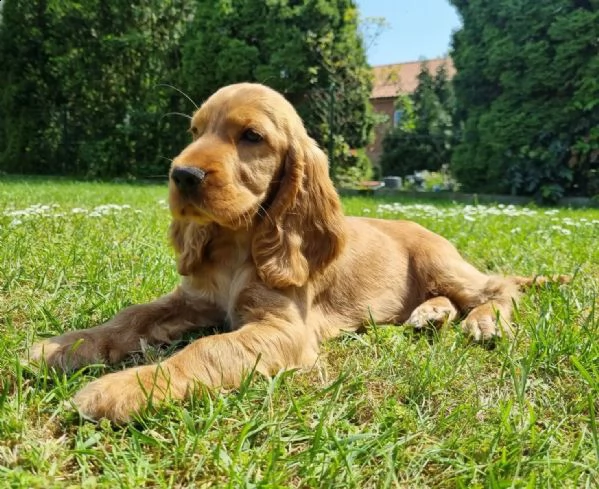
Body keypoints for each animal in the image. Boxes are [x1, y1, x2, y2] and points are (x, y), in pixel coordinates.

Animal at [30, 82, 568, 422]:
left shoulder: (283, 329)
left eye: (251, 137)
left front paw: (121, 388)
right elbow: (131, 315)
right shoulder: (193, 300)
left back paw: (484, 321)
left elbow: (204, 350)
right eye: (196, 131)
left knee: (498, 286)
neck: (239, 244)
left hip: (441, 263)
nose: (181, 175)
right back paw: (429, 315)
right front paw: (66, 346)